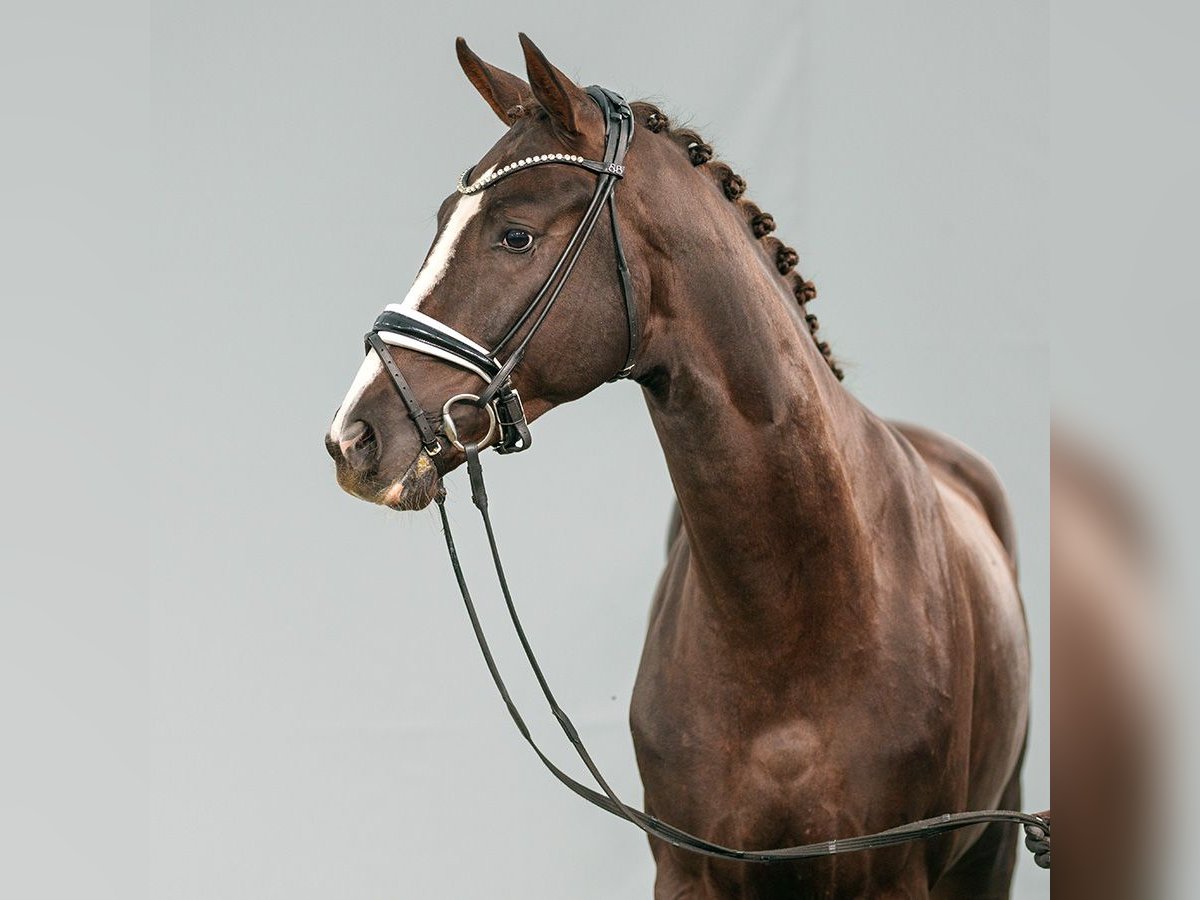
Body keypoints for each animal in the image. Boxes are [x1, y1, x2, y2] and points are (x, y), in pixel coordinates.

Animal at [326, 35, 1032, 900]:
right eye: (438, 221)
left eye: (516, 235)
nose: (355, 437)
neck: (796, 620)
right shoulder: (690, 872)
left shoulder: (895, 878)